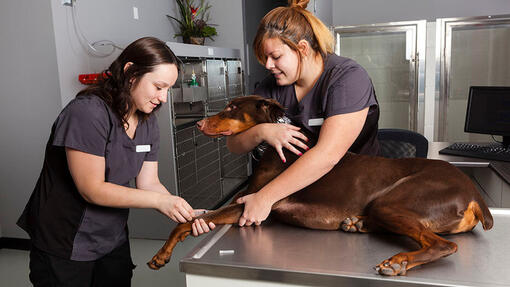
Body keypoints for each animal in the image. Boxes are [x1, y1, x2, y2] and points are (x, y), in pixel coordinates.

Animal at [148, 95, 494, 276]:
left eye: (233, 107)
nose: (198, 123)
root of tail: (475, 195)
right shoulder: (245, 201)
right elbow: (193, 216)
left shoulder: (255, 205)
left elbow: (186, 223)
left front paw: (162, 255)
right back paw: (357, 223)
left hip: (395, 200)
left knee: (442, 244)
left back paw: (398, 262)